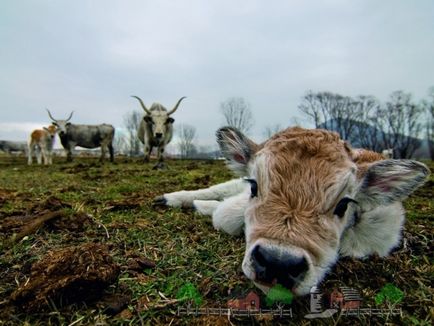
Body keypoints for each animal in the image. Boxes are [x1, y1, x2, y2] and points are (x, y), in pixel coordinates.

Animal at [154, 126, 428, 296]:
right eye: (254, 185)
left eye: (343, 204)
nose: (277, 263)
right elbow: (225, 214)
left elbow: (225, 212)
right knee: (217, 190)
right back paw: (169, 198)